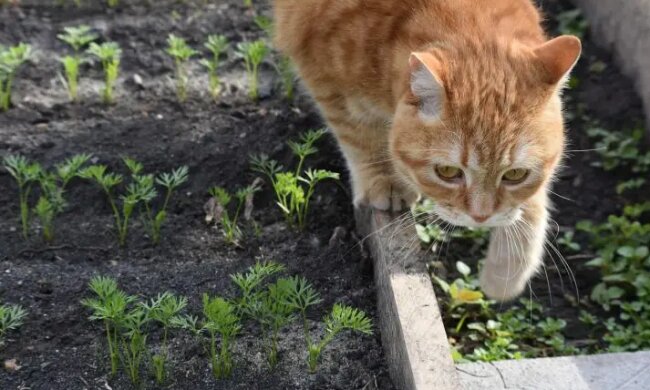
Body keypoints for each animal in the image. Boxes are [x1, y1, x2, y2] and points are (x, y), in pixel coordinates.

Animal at [270, 0, 580, 302]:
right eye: (447, 172)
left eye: (515, 174)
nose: (481, 217)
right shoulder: (325, 79)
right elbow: (359, 136)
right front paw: (384, 178)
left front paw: (507, 270)